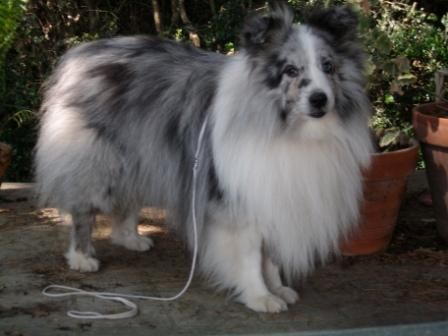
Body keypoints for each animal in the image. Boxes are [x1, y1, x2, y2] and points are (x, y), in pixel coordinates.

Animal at [34, 2, 372, 312]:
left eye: (328, 67)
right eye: (291, 71)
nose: (320, 100)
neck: (287, 127)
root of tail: (81, 53)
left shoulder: (272, 196)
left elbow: (271, 257)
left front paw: (277, 288)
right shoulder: (238, 200)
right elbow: (250, 256)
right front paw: (260, 296)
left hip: (141, 157)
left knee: (128, 201)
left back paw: (130, 238)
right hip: (98, 163)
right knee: (83, 209)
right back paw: (82, 257)